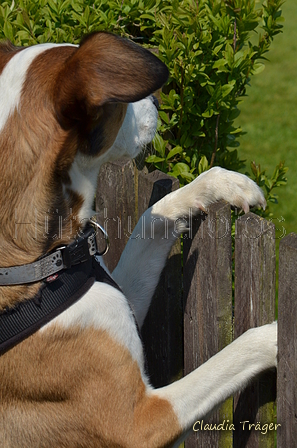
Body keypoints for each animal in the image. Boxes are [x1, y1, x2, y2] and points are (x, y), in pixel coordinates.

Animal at [0, 33, 278, 446]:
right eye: (121, 100)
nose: (158, 102)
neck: (43, 260)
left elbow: (154, 217)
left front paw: (223, 184)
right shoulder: (137, 422)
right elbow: (232, 354)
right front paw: (277, 337)